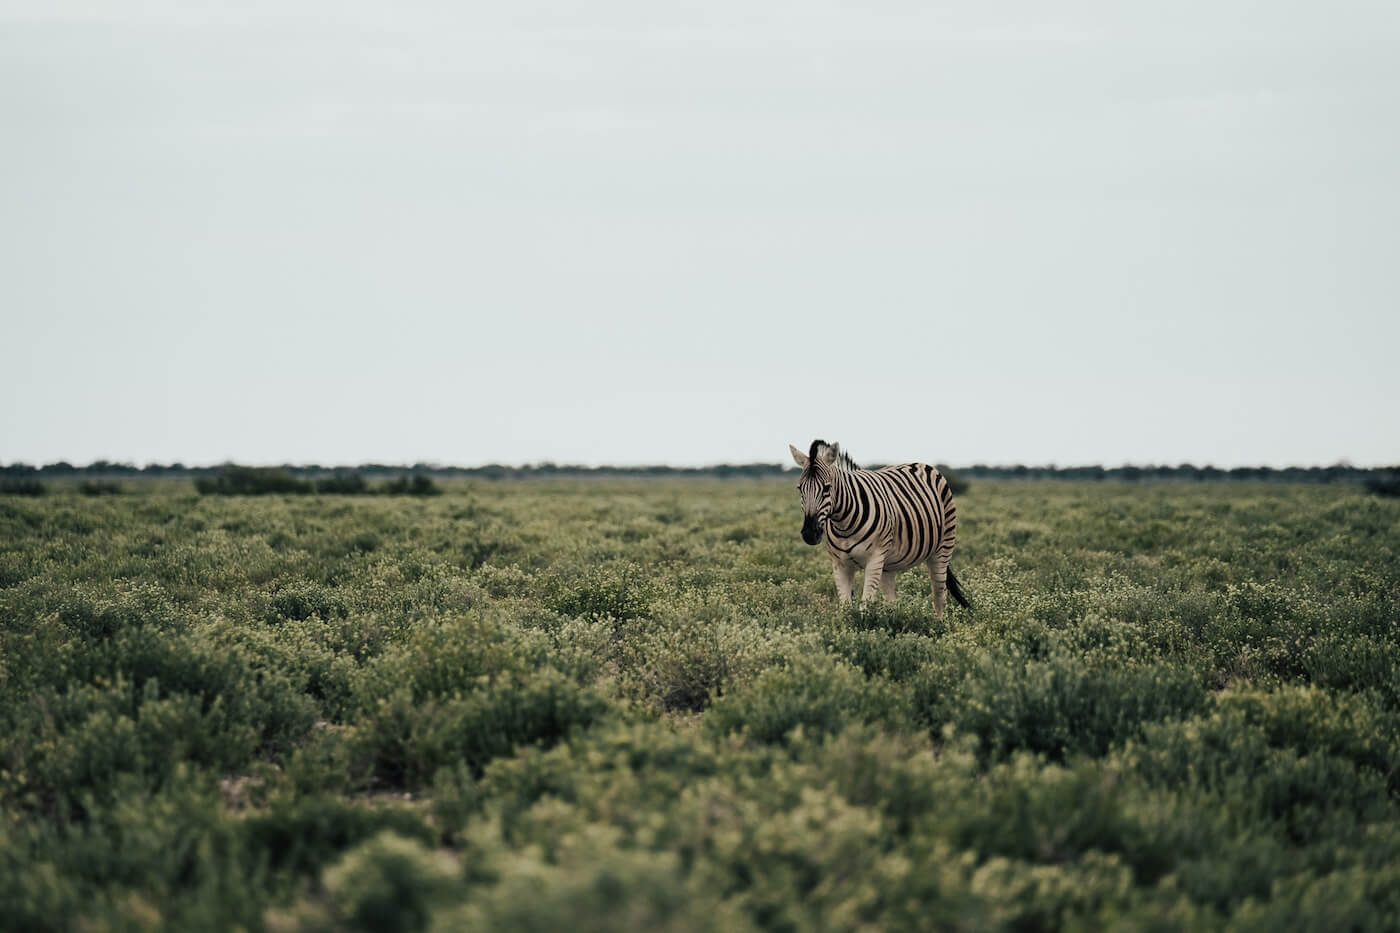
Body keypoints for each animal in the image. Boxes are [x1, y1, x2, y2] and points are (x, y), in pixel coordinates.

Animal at [789, 439, 970, 618]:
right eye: (799, 488)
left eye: (827, 488)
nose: (809, 534)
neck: (844, 524)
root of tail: (919, 464)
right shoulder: (840, 564)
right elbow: (845, 607)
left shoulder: (874, 560)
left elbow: (864, 606)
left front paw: (863, 625)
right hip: (888, 564)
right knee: (892, 600)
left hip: (942, 548)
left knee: (939, 596)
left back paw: (938, 624)